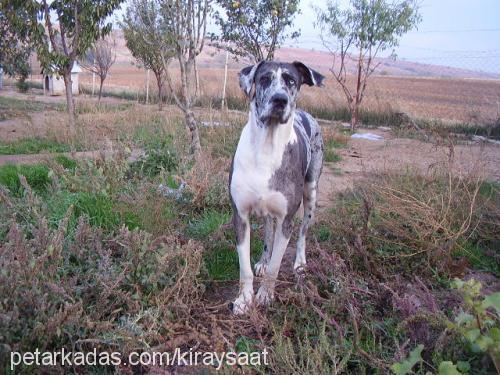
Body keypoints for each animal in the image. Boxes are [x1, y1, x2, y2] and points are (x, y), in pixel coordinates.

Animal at [229, 61, 326, 314]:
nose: (280, 99)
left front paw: (265, 295)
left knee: (303, 232)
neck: (266, 148)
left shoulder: (286, 220)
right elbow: (245, 267)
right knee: (268, 232)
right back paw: (263, 260)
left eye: (291, 80)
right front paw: (244, 299)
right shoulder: (240, 216)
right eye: (264, 79)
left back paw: (300, 262)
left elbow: (275, 266)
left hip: (311, 192)